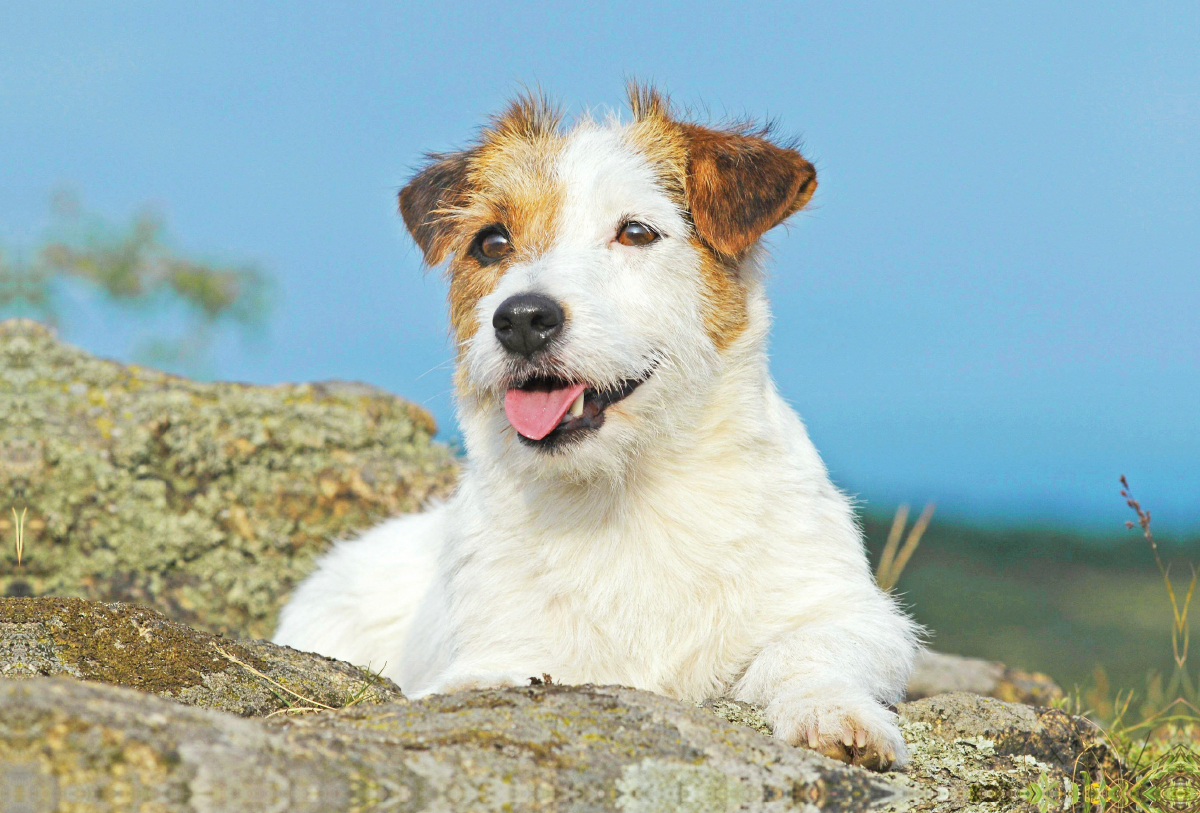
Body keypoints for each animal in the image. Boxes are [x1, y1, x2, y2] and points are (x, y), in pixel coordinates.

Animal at [276, 85, 921, 772]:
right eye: (491, 243)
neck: (626, 494)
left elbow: (807, 650)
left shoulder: (845, 610)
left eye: (636, 231)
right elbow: (500, 672)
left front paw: (834, 714)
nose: (521, 319)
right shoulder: (501, 642)